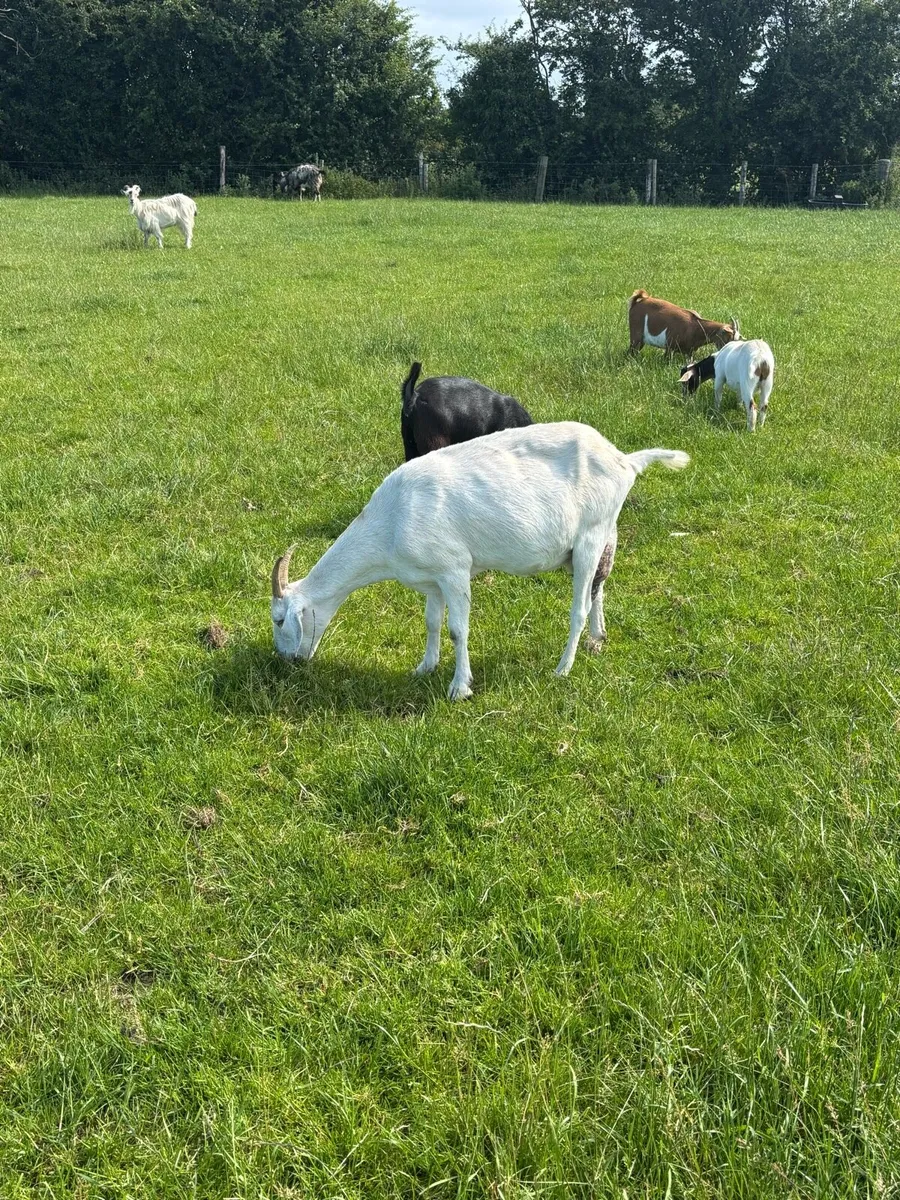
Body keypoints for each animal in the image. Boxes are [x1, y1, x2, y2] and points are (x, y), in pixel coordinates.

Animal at [271, 423, 690, 699]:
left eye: (278, 620)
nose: (286, 660)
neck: (390, 521)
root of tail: (624, 460)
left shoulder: (454, 569)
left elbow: (458, 629)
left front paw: (460, 687)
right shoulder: (430, 578)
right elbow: (431, 623)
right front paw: (424, 667)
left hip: (590, 535)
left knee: (580, 606)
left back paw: (563, 668)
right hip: (601, 536)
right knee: (600, 584)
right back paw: (597, 639)